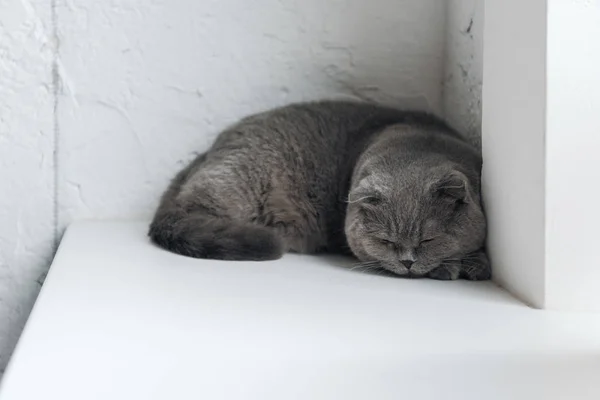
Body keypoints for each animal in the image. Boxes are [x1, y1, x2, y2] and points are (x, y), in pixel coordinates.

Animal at [148, 100, 490, 282]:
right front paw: (452, 268)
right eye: (386, 241)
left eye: (429, 239)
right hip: (239, 179)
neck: (417, 141)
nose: (407, 262)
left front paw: (474, 264)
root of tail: (207, 152)